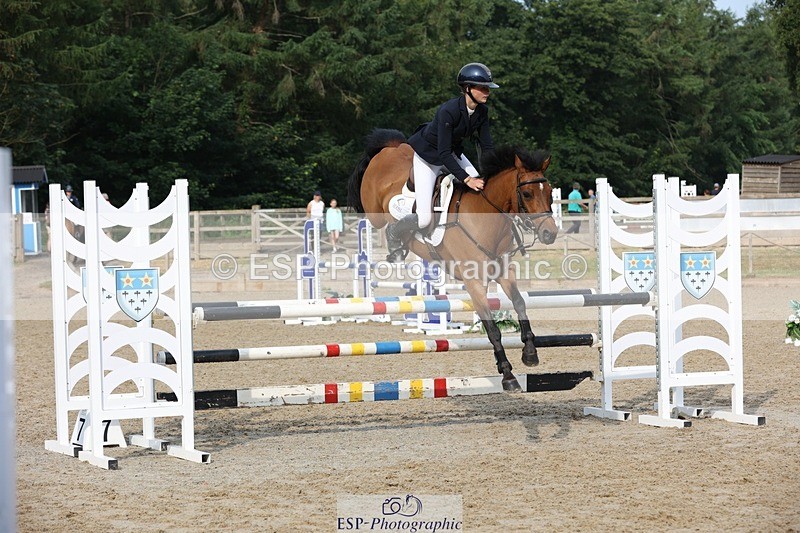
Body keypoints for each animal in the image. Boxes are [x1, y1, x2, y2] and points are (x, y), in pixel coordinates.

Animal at [347, 129, 559, 391]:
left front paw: (530, 353)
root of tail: (391, 148)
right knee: (379, 220)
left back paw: (398, 247)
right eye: (527, 194)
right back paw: (394, 242)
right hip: (373, 209)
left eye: (550, 193)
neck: (486, 218)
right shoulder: (474, 283)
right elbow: (492, 329)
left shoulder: (503, 272)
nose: (550, 233)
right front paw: (507, 374)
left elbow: (520, 304)